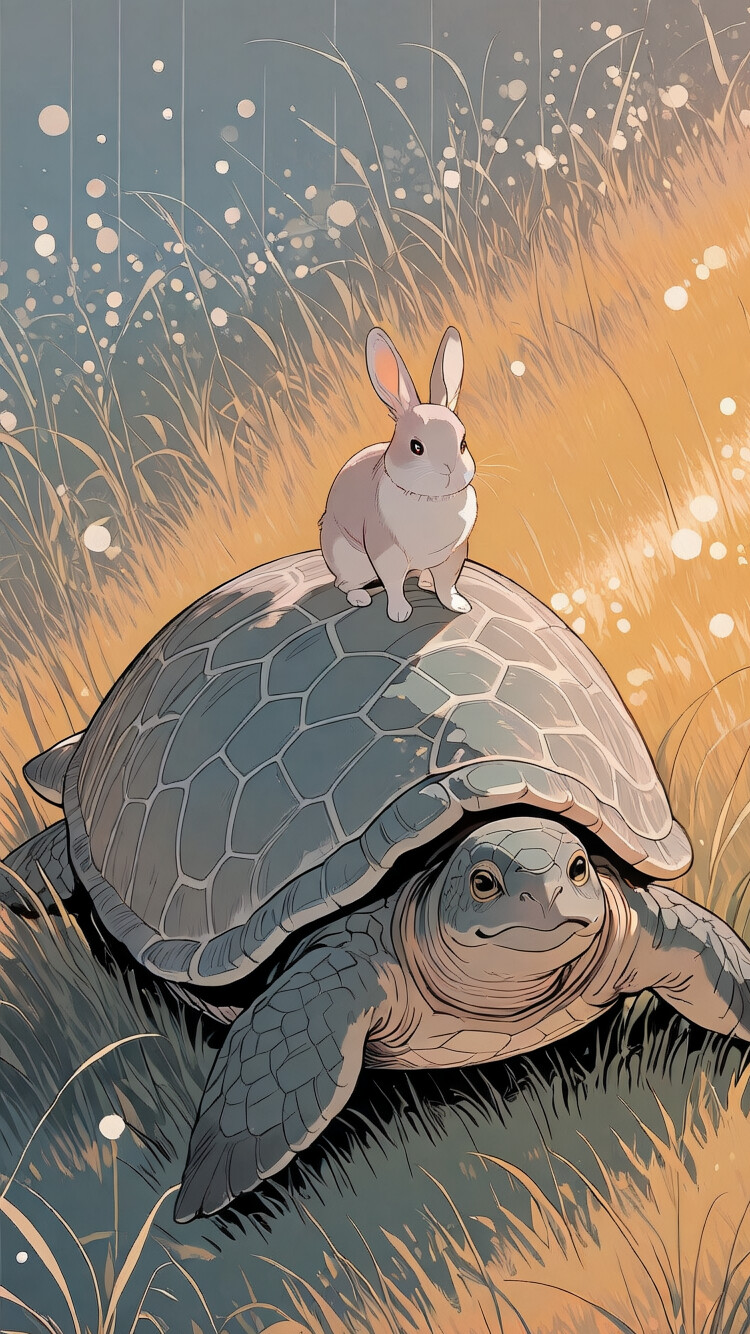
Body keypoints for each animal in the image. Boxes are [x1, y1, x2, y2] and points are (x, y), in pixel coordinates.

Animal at [319, 326, 477, 623]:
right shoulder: (386, 552)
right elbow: (393, 585)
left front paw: (459, 605)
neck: (430, 501)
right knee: (344, 584)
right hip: (350, 561)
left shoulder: (453, 555)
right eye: (416, 447)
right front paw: (400, 613)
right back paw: (360, 598)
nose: (449, 470)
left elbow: (447, 584)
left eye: (463, 444)